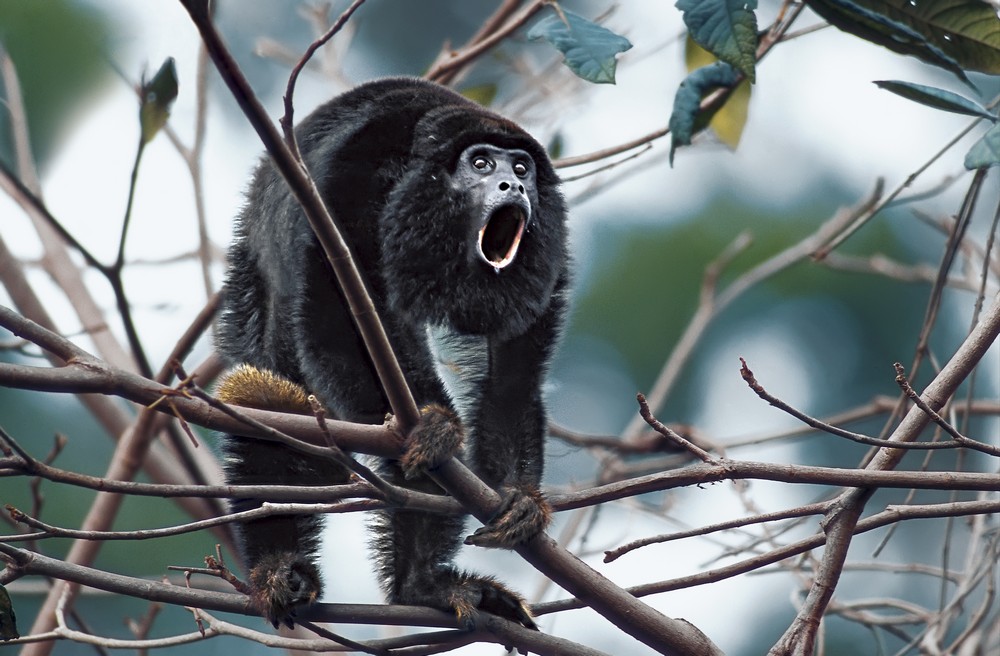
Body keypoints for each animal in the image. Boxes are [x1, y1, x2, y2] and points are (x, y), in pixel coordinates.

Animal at [214, 77, 568, 632]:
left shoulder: (550, 258)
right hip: (250, 287)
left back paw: (421, 587)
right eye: (481, 164)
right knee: (267, 393)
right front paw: (431, 421)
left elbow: (512, 376)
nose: (513, 188)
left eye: (521, 169)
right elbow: (339, 298)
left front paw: (520, 500)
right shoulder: (358, 170)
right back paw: (280, 568)